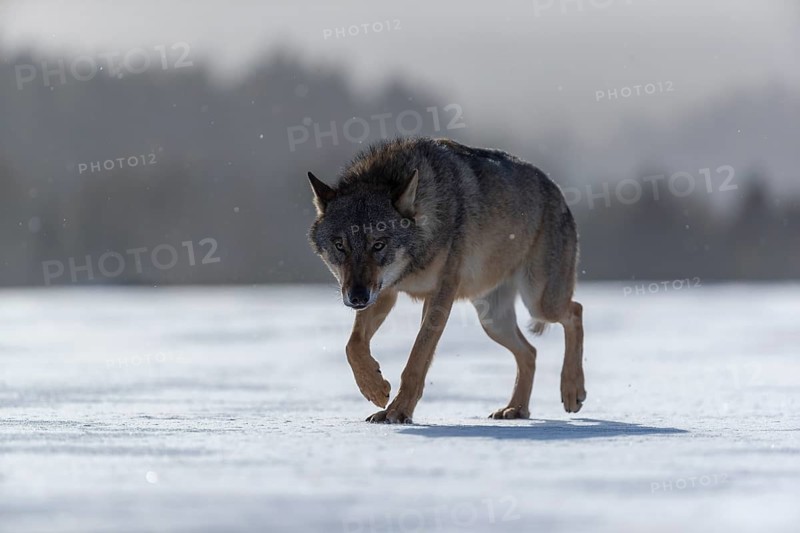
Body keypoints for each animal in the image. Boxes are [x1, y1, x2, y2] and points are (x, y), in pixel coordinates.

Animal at [307, 137, 585, 423]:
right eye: (340, 245)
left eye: (378, 245)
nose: (357, 297)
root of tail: (555, 187)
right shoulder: (385, 292)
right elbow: (353, 345)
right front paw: (375, 389)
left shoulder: (440, 294)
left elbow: (417, 359)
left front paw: (398, 411)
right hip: (492, 320)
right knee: (530, 352)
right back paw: (516, 409)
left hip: (539, 303)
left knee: (575, 311)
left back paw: (572, 390)